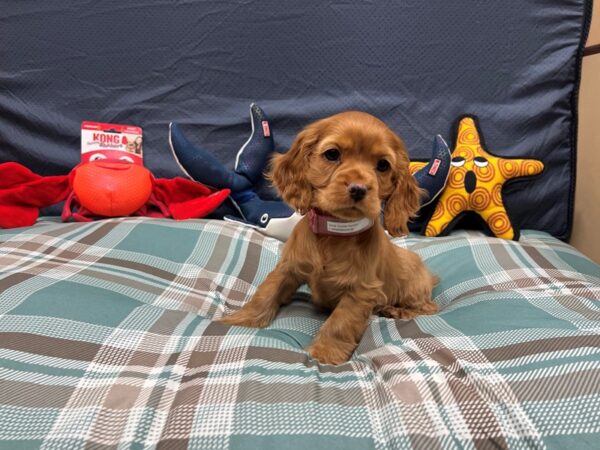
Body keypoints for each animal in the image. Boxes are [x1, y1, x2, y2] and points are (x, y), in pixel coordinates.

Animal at [223, 110, 438, 364]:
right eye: (332, 154)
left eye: (383, 165)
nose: (358, 189)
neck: (334, 232)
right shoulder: (289, 266)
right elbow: (266, 291)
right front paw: (240, 319)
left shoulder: (360, 290)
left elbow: (341, 322)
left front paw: (325, 353)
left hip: (413, 288)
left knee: (429, 307)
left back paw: (396, 310)